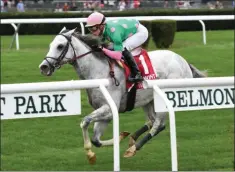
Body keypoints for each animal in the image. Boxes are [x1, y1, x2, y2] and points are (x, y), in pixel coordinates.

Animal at [39, 27, 207, 164]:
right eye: (50, 45)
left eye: (60, 46)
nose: (44, 67)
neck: (99, 71)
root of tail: (183, 61)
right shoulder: (106, 113)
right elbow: (96, 140)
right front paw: (121, 137)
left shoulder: (109, 108)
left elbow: (85, 121)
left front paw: (90, 153)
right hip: (148, 100)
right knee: (153, 122)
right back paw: (132, 139)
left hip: (165, 98)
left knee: (159, 124)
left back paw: (133, 148)